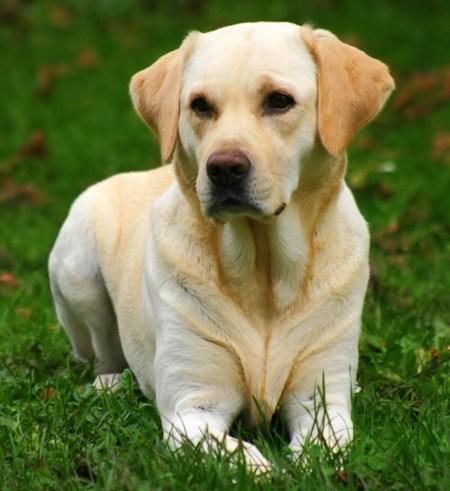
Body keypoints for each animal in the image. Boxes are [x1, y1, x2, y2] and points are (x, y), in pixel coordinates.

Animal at [48, 22, 394, 472]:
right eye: (200, 105)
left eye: (279, 101)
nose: (224, 167)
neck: (264, 272)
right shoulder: (192, 408)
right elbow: (243, 458)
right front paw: (266, 469)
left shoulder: (322, 401)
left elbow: (317, 450)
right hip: (78, 270)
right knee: (102, 357)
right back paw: (111, 383)